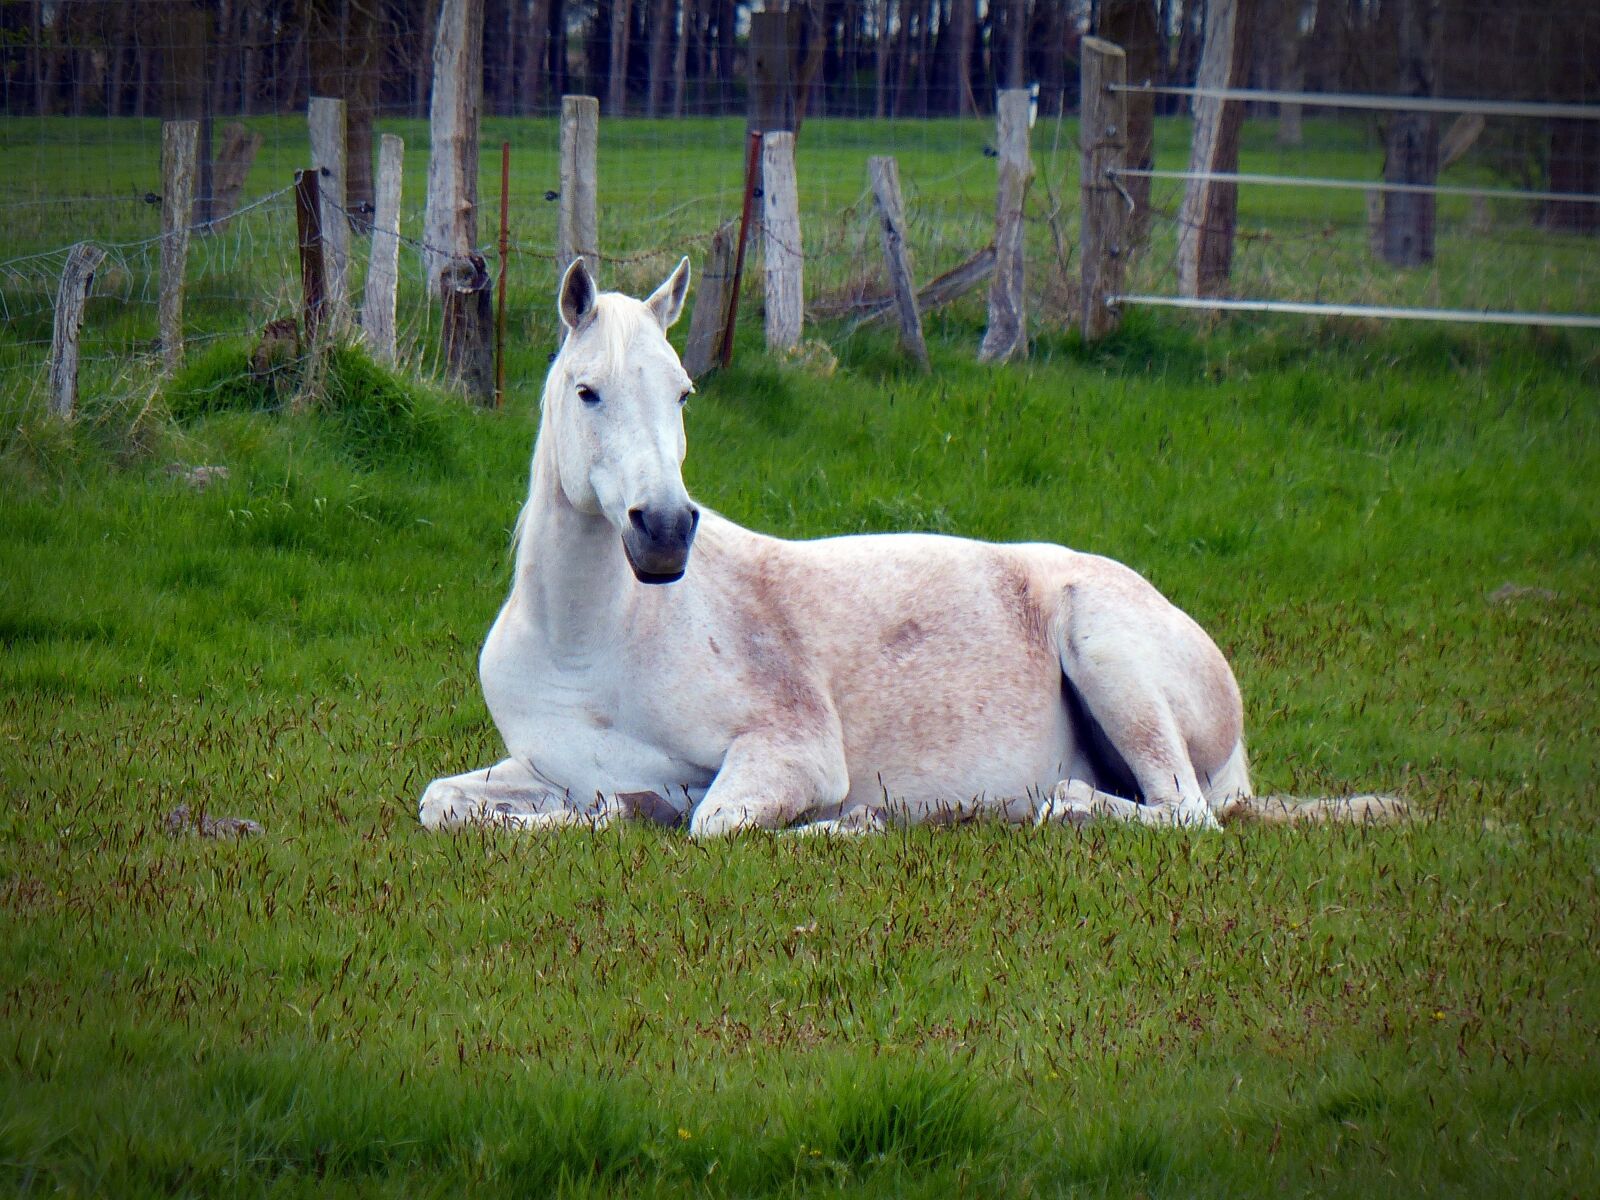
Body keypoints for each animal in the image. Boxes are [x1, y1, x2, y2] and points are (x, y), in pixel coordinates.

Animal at [418, 259, 1403, 836]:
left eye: (685, 393)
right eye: (587, 391)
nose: (662, 529)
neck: (589, 644)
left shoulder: (792, 754)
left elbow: (710, 819)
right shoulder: (544, 771)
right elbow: (445, 805)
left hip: (1111, 656)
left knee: (1181, 816)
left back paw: (1042, 808)